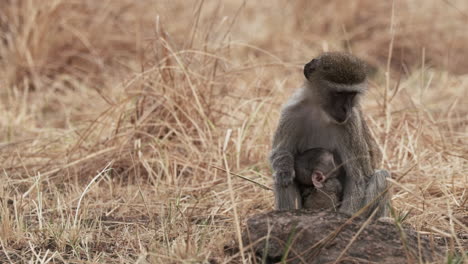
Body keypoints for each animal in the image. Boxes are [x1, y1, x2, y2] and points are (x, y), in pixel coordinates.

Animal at [268, 51, 390, 217]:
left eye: (351, 94)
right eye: (338, 93)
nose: (346, 109)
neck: (320, 111)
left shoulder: (350, 122)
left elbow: (358, 177)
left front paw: (346, 219)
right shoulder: (291, 112)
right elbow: (280, 152)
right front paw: (284, 169)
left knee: (381, 176)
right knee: (282, 179)